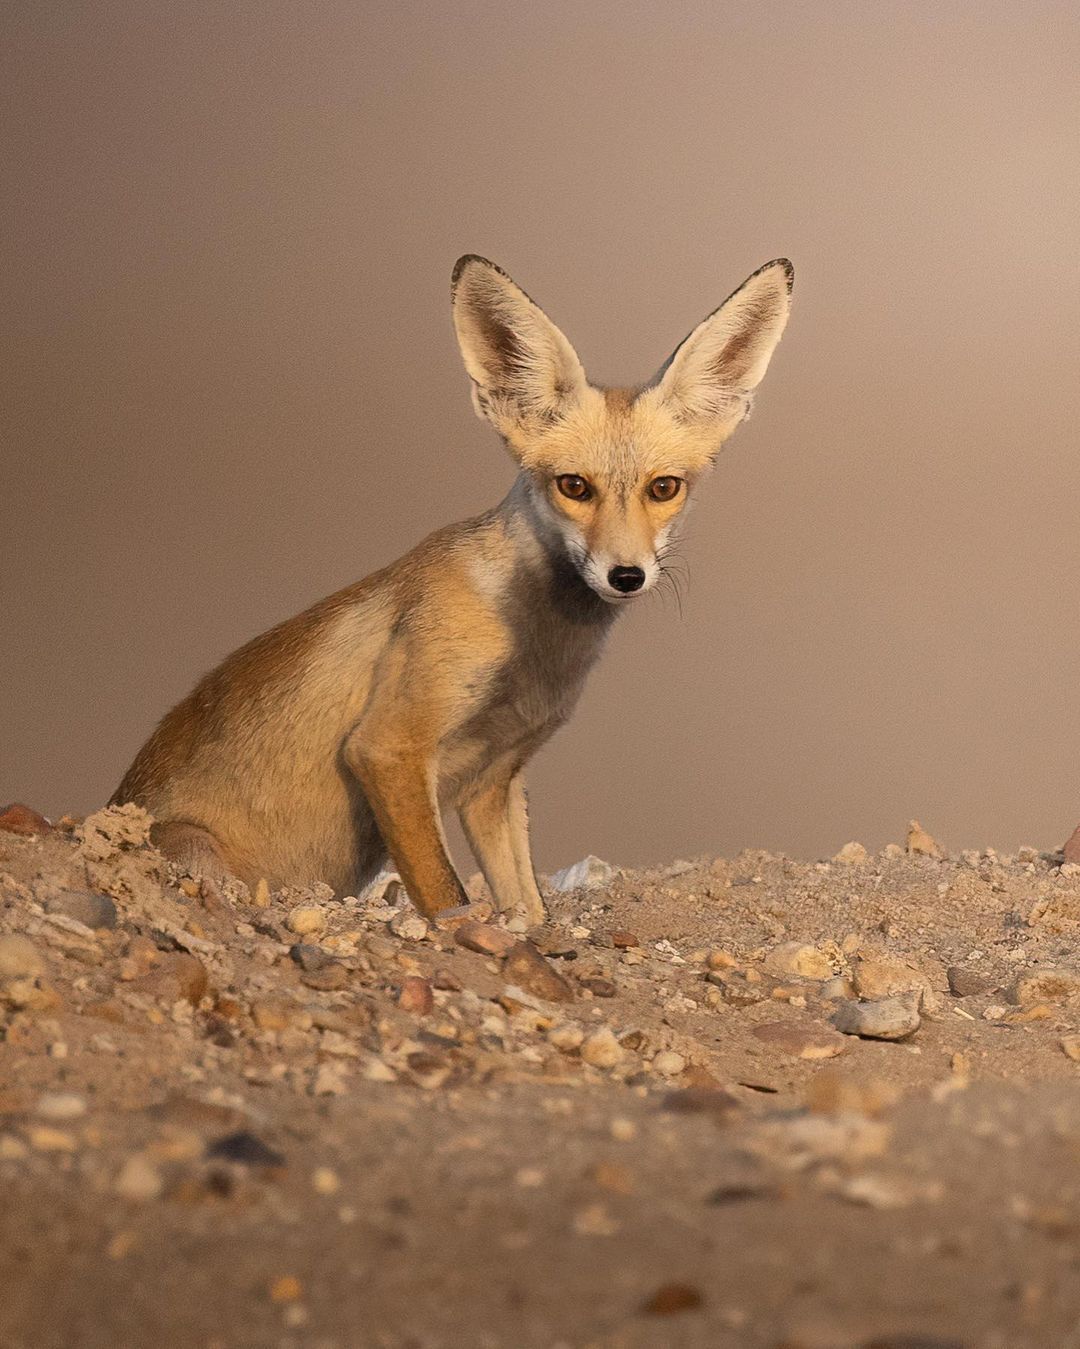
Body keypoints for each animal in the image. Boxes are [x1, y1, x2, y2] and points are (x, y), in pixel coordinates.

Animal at [113, 253, 792, 928]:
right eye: (573, 486)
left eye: (663, 488)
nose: (626, 576)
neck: (532, 645)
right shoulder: (387, 749)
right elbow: (448, 896)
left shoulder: (494, 782)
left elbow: (527, 905)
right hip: (194, 849)